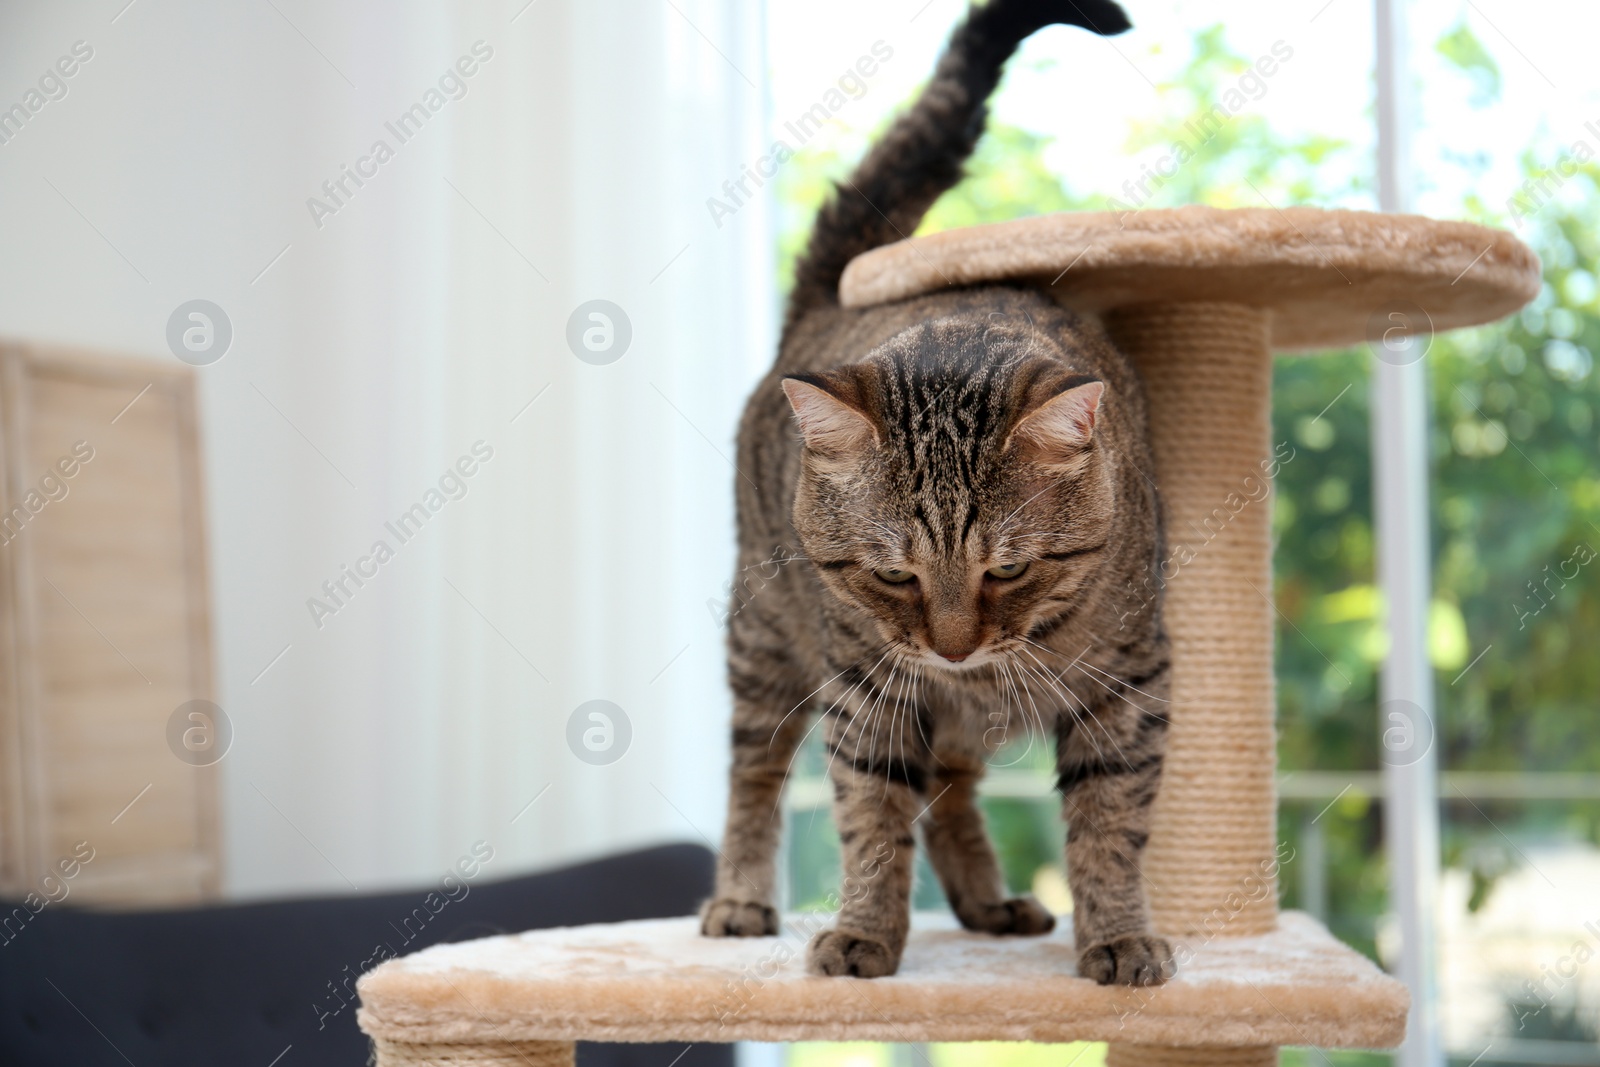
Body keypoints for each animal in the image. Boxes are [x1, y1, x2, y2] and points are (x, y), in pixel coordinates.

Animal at [700, 0, 1177, 991]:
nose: (953, 646)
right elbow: (873, 816)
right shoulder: (865, 686)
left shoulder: (1131, 684)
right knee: (755, 773)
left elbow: (1110, 825)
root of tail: (821, 308)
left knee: (954, 786)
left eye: (1010, 570)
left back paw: (988, 900)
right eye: (892, 575)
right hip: (763, 641)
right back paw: (741, 897)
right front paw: (864, 932)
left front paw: (1117, 933)